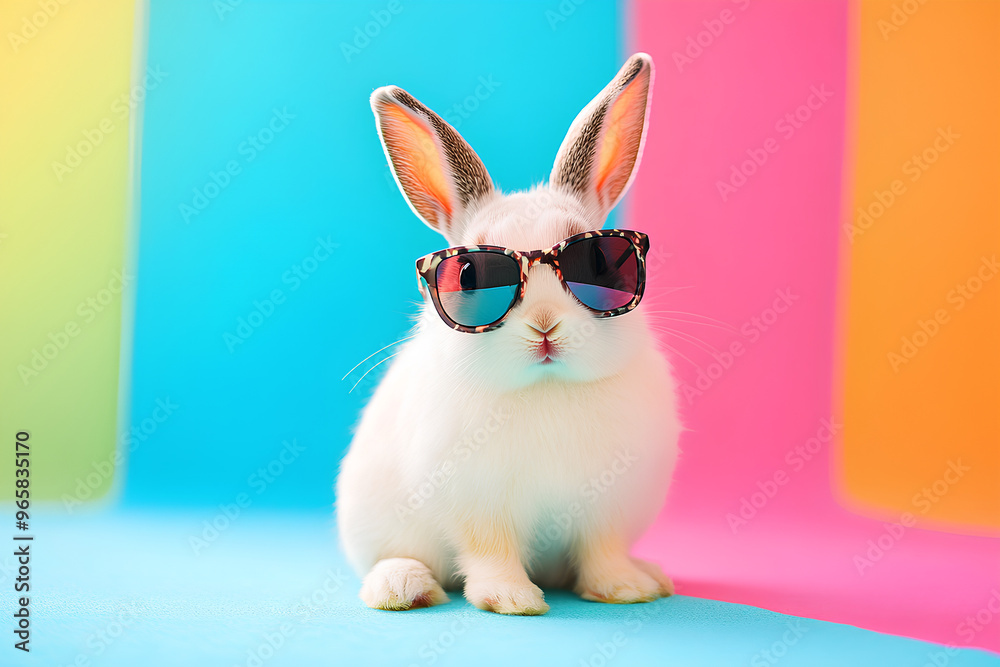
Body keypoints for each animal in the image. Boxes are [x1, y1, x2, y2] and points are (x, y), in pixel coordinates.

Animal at [336, 53, 681, 615]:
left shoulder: (606, 509)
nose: (545, 325)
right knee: (394, 559)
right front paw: (513, 600)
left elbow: (602, 551)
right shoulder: (478, 506)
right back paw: (401, 587)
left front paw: (624, 589)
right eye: (468, 276)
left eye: (602, 264)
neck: (546, 388)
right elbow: (490, 552)